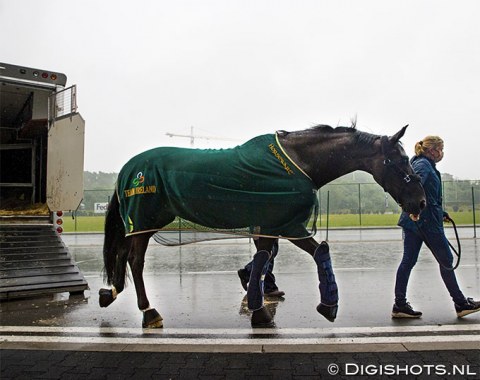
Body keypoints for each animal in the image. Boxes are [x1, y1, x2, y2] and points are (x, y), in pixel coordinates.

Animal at [97, 124, 424, 326]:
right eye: (399, 160)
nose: (420, 201)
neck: (297, 162)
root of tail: (128, 169)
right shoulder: (288, 225)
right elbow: (316, 252)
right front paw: (326, 306)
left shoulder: (272, 226)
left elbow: (265, 259)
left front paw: (260, 307)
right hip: (143, 220)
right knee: (135, 261)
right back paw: (148, 311)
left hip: (143, 222)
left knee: (124, 256)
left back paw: (111, 293)